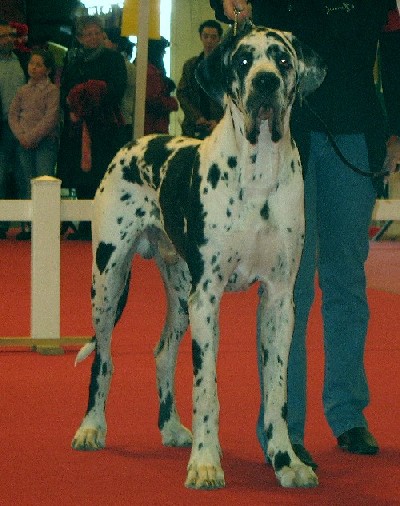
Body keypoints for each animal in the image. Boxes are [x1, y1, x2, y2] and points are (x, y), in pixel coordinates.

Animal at [72, 21, 326, 488]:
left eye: (282, 60)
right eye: (243, 60)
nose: (266, 82)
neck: (258, 171)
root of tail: (136, 142)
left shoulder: (280, 300)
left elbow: (277, 390)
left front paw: (286, 460)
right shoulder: (208, 296)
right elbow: (206, 389)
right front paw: (206, 463)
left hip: (180, 293)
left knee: (162, 351)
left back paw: (170, 427)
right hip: (108, 279)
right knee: (103, 359)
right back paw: (91, 427)